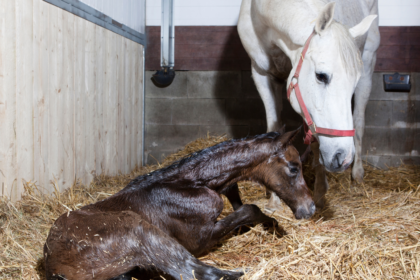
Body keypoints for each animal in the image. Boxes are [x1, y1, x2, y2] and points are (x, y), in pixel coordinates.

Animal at [45, 129, 316, 280]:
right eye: (294, 168)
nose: (310, 208)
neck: (189, 183)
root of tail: (52, 264)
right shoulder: (199, 240)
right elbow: (250, 209)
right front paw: (275, 228)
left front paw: (273, 226)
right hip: (141, 232)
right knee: (196, 271)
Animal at [238, 0, 378, 210]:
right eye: (321, 75)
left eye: (353, 82)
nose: (343, 158)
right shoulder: (261, 74)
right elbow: (275, 129)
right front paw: (274, 197)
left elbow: (315, 140)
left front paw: (320, 192)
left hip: (368, 63)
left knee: (359, 122)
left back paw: (357, 175)